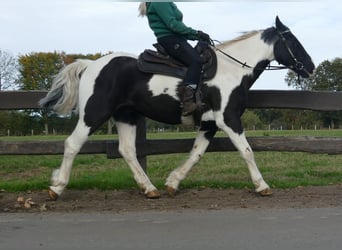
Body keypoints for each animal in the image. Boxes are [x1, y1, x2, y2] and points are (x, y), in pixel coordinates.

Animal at [40, 16, 316, 200]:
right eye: (292, 40)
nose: (311, 67)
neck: (232, 70)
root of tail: (90, 65)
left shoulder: (209, 124)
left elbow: (196, 154)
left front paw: (173, 183)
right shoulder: (228, 119)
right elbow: (247, 151)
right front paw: (262, 185)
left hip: (126, 116)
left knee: (127, 150)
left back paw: (149, 188)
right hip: (94, 113)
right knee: (73, 144)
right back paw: (56, 187)